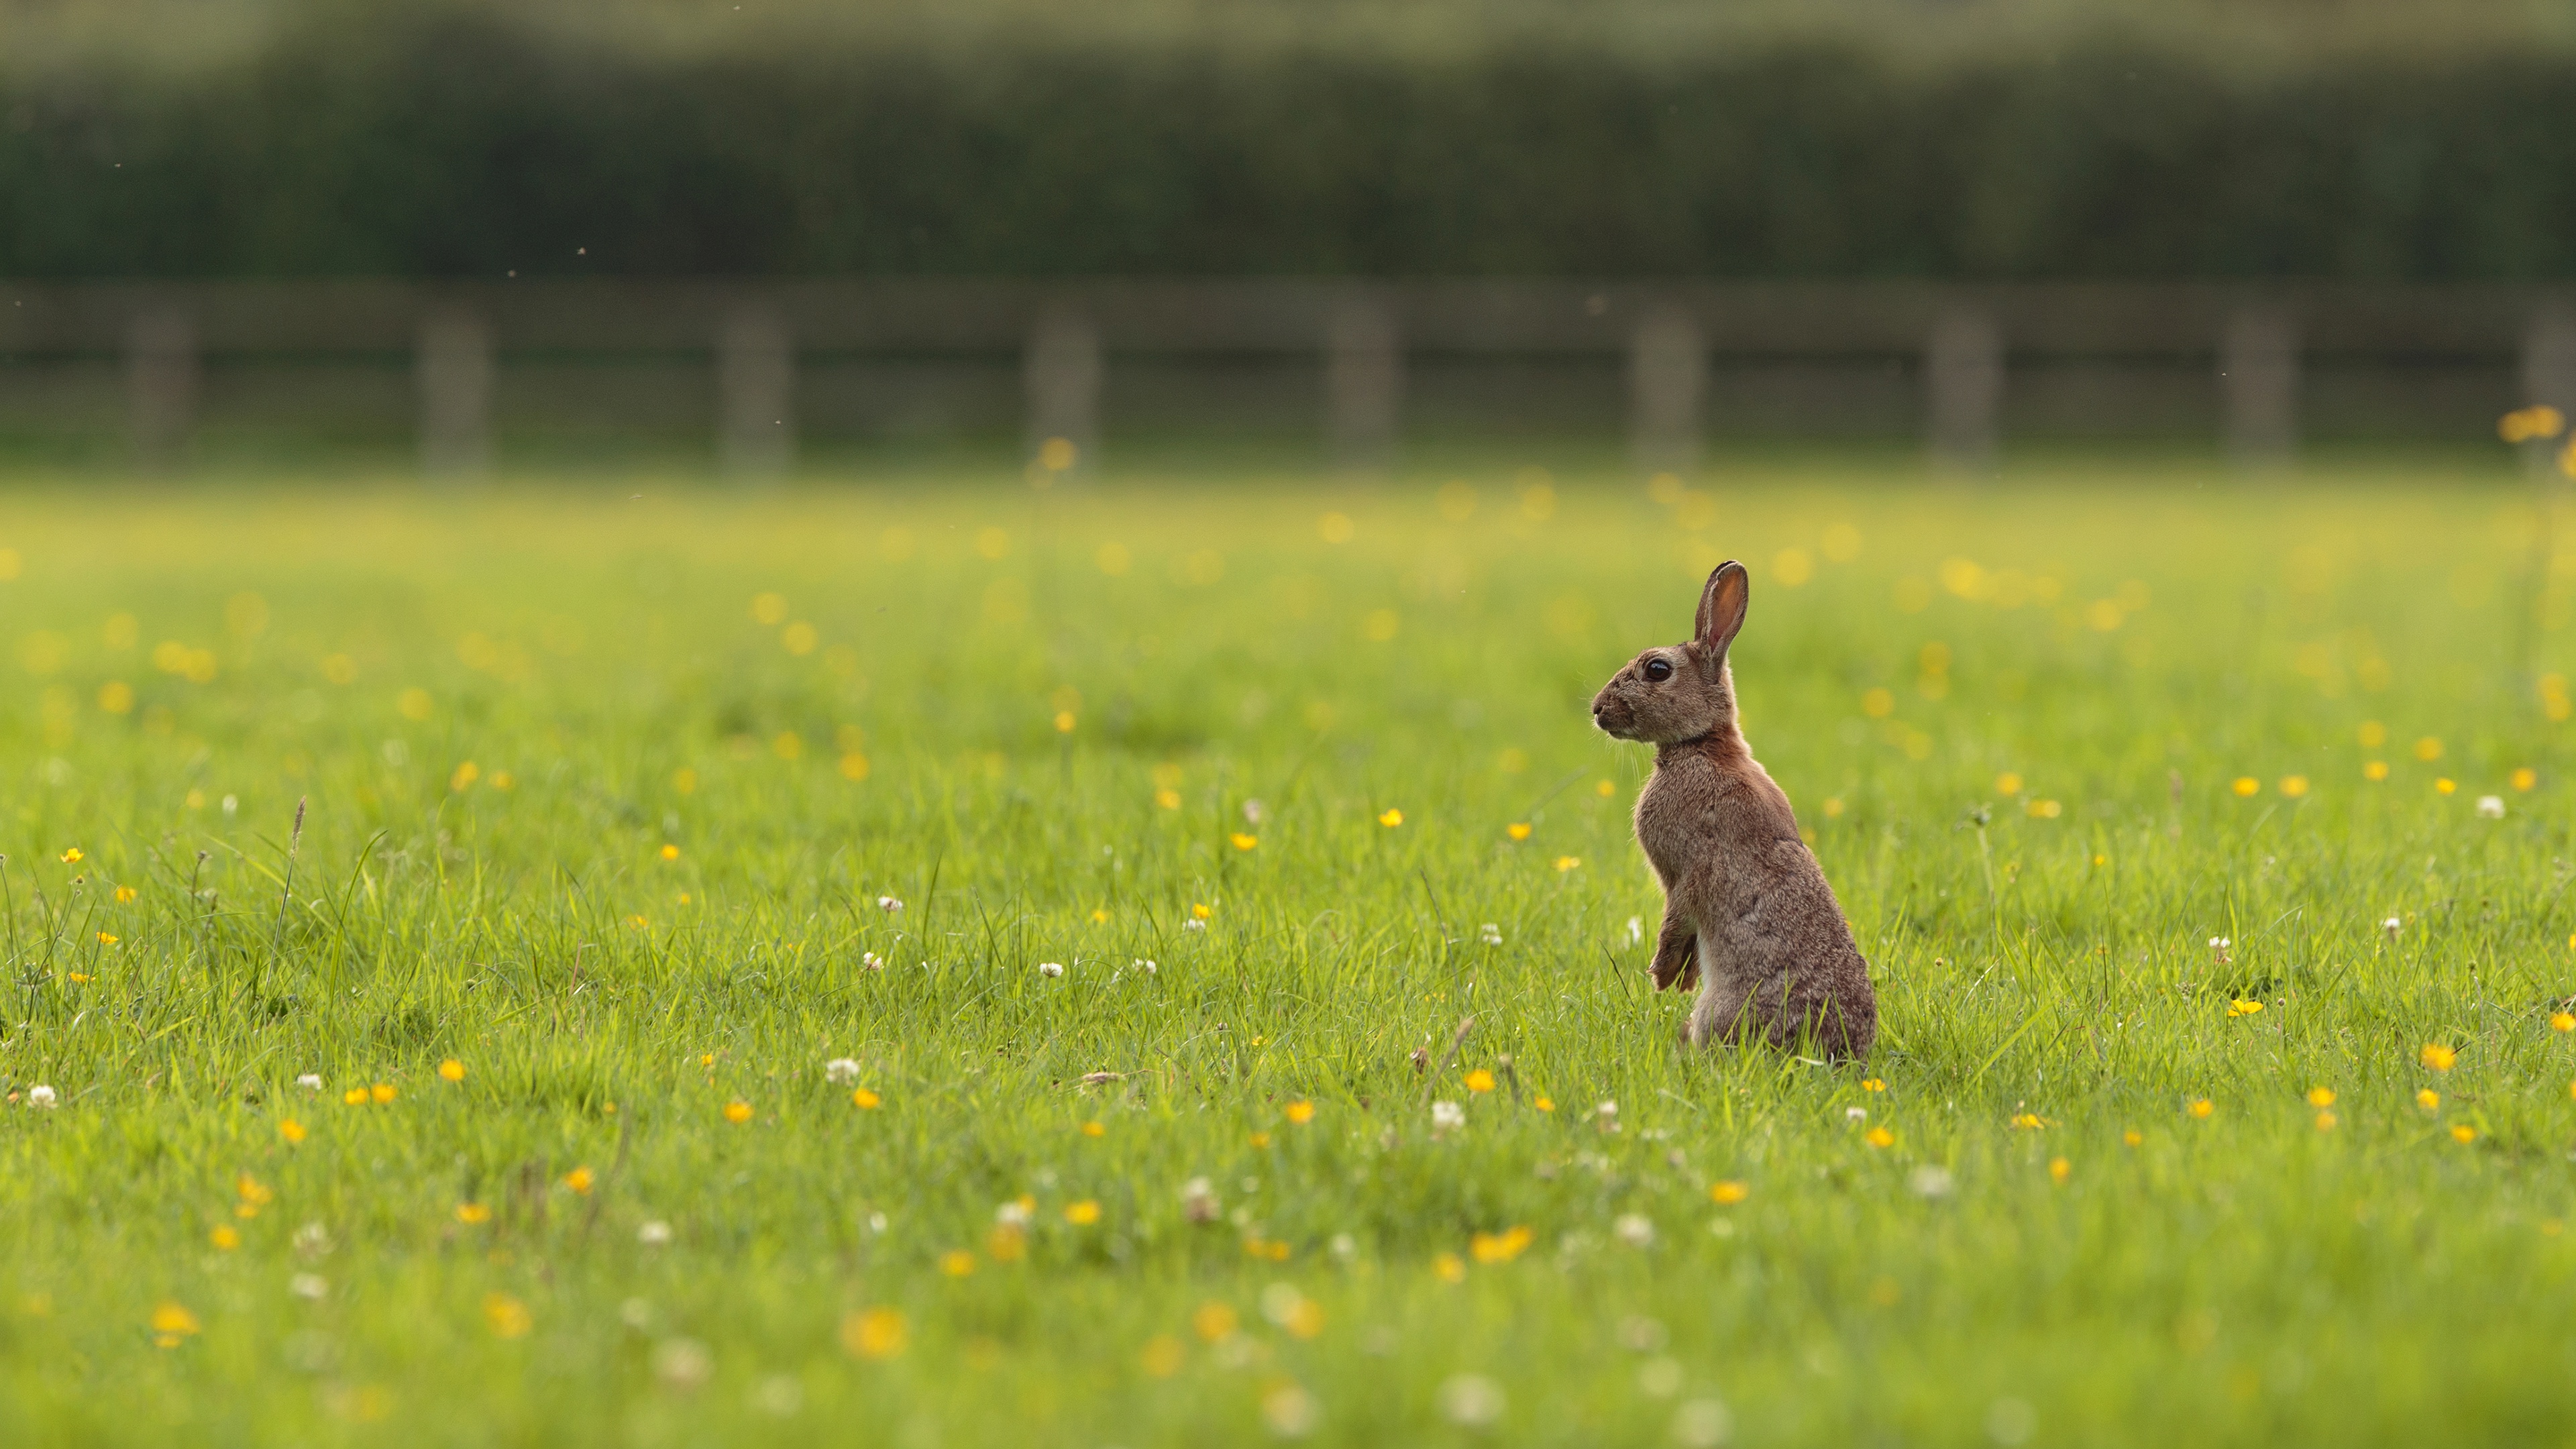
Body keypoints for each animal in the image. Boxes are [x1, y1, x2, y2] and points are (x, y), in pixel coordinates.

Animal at [1587, 559, 1875, 1057]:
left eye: (1657, 669)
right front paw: (1680, 979)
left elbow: (1677, 918)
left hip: (1723, 1009)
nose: (1598, 709)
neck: (1702, 744)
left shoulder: (1689, 870)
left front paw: (1661, 976)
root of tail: (1841, 1054)